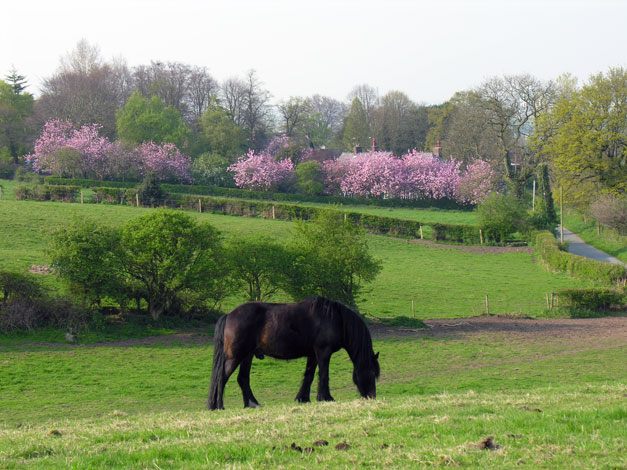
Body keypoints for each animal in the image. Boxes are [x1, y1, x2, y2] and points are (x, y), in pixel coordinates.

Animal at [209, 298, 380, 412]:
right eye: (372, 372)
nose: (372, 396)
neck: (334, 318)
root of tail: (228, 315)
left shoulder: (313, 354)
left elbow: (309, 375)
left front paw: (303, 398)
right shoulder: (323, 351)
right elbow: (324, 374)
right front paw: (326, 398)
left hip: (247, 355)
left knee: (242, 378)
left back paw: (252, 404)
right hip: (235, 357)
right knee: (222, 377)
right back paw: (219, 406)